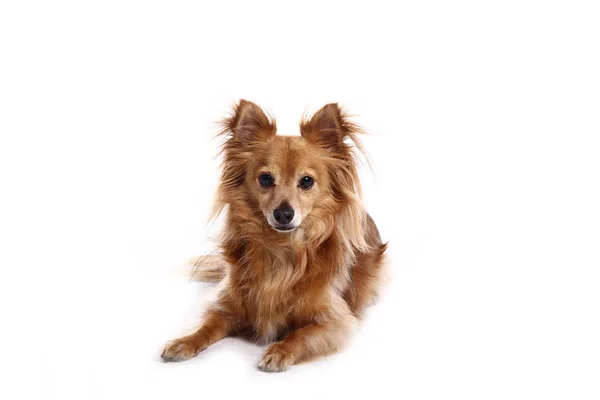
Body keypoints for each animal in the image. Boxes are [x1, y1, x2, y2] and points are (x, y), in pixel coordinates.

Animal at [162, 100, 386, 372]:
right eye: (266, 179)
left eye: (307, 181)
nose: (283, 214)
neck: (281, 249)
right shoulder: (225, 306)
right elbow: (206, 325)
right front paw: (184, 341)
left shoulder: (336, 321)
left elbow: (300, 334)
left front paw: (280, 351)